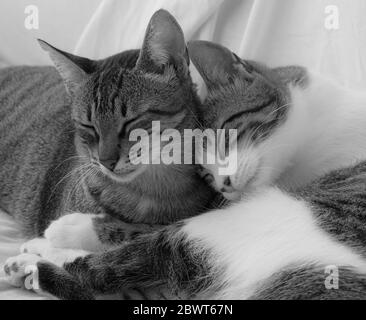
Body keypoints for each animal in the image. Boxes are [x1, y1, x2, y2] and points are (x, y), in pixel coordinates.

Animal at [5, 40, 366, 300]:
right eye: (204, 173)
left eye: (224, 136)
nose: (225, 184)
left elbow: (144, 231)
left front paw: (71, 227)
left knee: (116, 264)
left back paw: (31, 258)